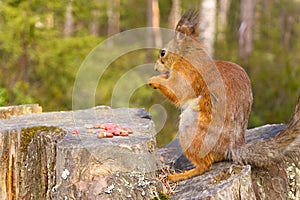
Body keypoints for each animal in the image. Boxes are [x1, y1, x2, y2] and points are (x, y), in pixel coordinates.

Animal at [148, 9, 300, 182]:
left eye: (162, 52)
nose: (155, 68)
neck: (188, 55)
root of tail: (230, 147)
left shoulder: (188, 73)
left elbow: (178, 90)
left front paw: (154, 80)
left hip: (191, 128)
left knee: (205, 165)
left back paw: (180, 175)